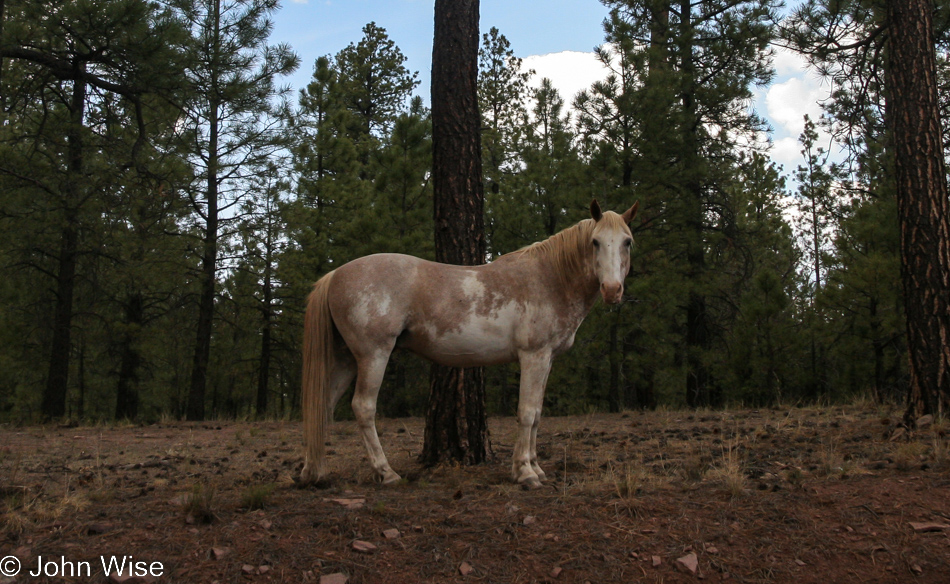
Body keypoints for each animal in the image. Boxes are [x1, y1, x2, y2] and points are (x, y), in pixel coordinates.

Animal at [300, 201, 640, 488]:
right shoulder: (534, 356)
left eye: (627, 241)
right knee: (363, 407)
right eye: (595, 242)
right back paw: (386, 473)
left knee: (323, 406)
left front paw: (536, 467)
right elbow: (527, 412)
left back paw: (313, 472)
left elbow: (538, 414)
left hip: (346, 358)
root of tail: (335, 274)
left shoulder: (547, 360)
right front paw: (525, 473)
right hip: (373, 355)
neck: (549, 279)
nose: (612, 290)